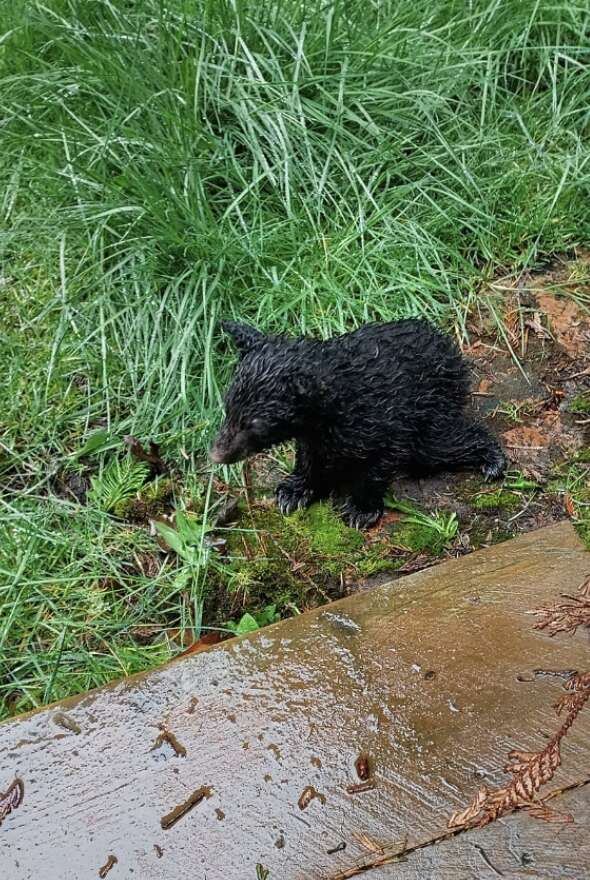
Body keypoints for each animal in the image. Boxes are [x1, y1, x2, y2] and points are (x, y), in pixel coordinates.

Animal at [210, 319, 506, 529]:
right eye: (227, 406)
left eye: (257, 424)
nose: (216, 454)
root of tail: (449, 346)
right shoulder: (314, 434)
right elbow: (309, 459)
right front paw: (294, 492)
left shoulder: (388, 424)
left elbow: (375, 468)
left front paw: (361, 510)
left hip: (430, 407)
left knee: (443, 442)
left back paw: (492, 459)